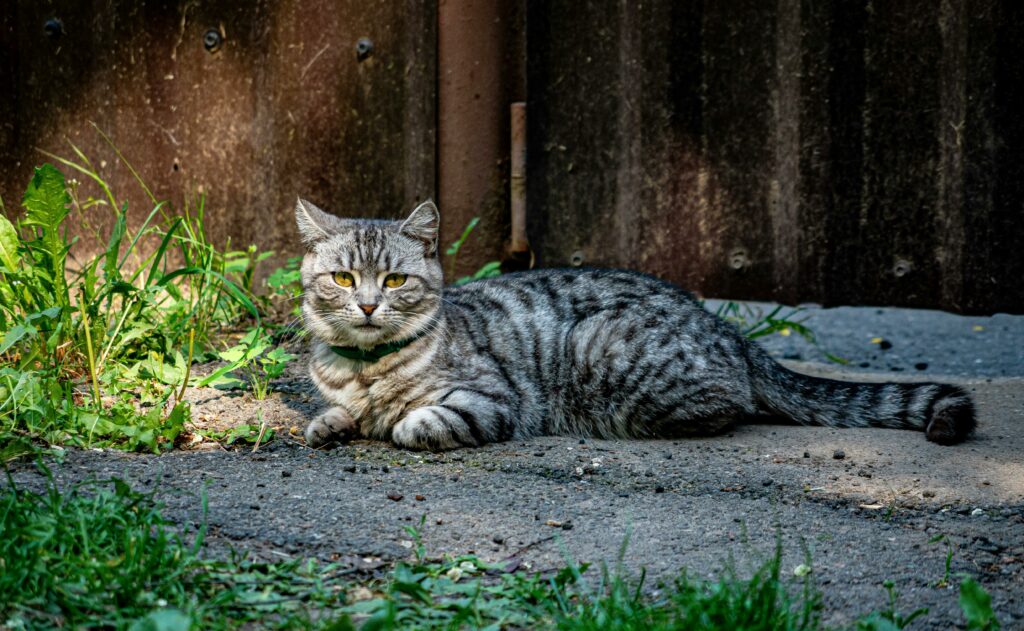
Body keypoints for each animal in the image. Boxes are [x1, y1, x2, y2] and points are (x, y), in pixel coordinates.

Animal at [296, 199, 974, 450]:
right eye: (343, 280)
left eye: (394, 282)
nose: (367, 307)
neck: (366, 369)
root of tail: (725, 327)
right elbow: (332, 414)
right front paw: (333, 421)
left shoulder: (491, 398)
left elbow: (420, 421)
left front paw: (394, 423)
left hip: (602, 349)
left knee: (732, 405)